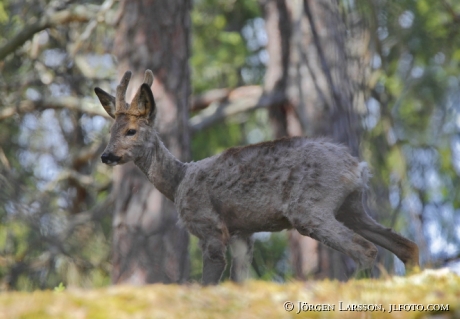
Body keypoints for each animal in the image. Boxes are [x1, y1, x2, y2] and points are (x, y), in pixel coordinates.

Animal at [95, 70, 418, 284]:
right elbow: (242, 281)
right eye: (110, 131)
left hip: (310, 207)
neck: (177, 183)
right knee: (405, 245)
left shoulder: (210, 226)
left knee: (366, 249)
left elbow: (209, 283)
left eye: (131, 131)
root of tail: (357, 167)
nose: (106, 156)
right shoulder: (243, 232)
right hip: (351, 207)